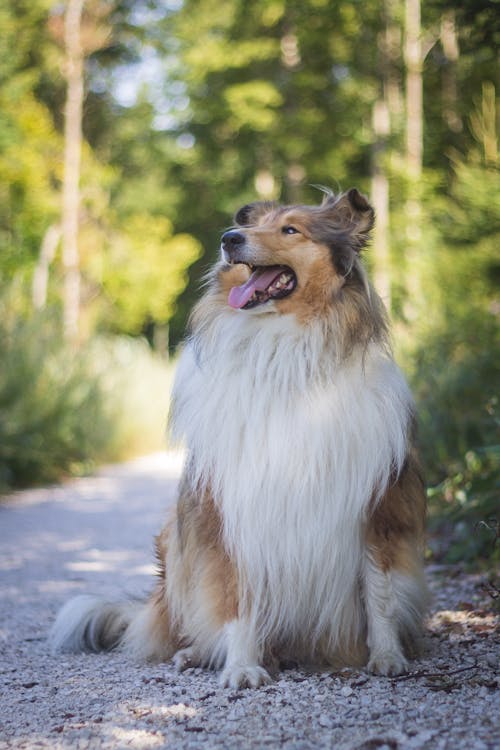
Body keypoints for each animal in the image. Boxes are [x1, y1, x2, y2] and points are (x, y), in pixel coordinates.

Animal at [49, 188, 426, 688]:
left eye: (291, 229)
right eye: (250, 225)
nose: (229, 238)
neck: (285, 355)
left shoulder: (378, 508)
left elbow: (380, 594)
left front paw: (387, 656)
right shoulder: (230, 508)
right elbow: (236, 595)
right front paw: (242, 667)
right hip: (177, 540)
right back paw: (196, 653)